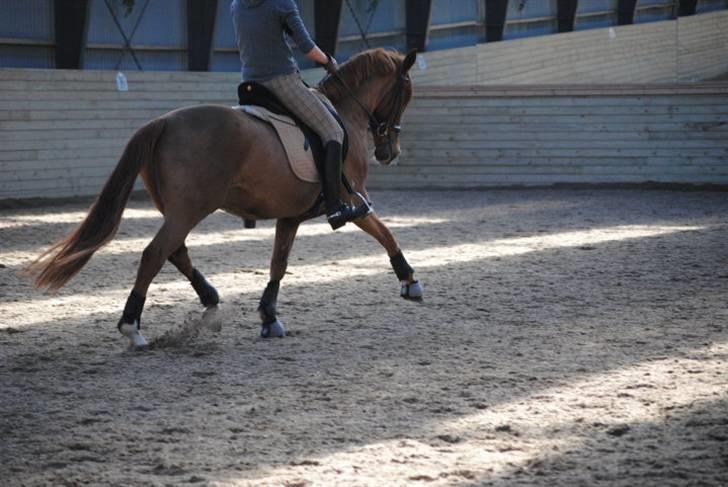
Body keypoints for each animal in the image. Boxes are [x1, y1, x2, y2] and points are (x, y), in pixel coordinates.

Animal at [28, 47, 424, 348]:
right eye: (403, 96)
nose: (390, 152)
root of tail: (164, 121)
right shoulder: (354, 202)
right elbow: (386, 232)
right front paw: (410, 281)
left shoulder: (290, 216)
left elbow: (278, 263)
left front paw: (269, 318)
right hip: (190, 209)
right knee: (155, 253)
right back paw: (133, 328)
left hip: (179, 209)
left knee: (175, 251)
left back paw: (210, 300)